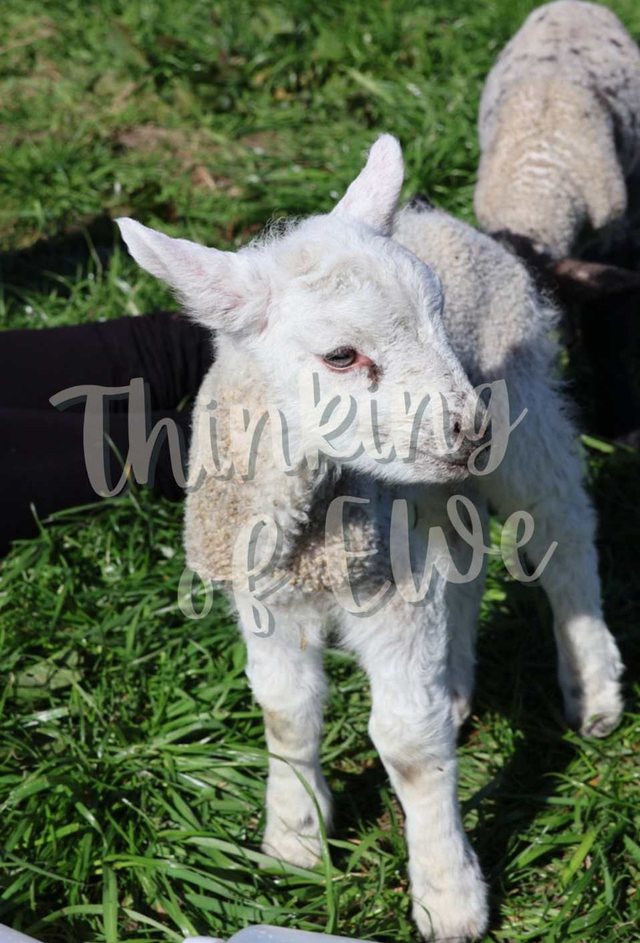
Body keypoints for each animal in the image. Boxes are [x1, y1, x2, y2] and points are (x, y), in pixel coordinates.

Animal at [117, 135, 623, 943]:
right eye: (341, 356)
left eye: (438, 319)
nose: (470, 429)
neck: (312, 535)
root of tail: (439, 218)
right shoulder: (271, 594)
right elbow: (285, 710)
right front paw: (293, 839)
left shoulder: (391, 596)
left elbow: (409, 746)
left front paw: (449, 897)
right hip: (426, 498)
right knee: (462, 557)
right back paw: (455, 684)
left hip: (523, 406)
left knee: (564, 529)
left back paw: (593, 688)